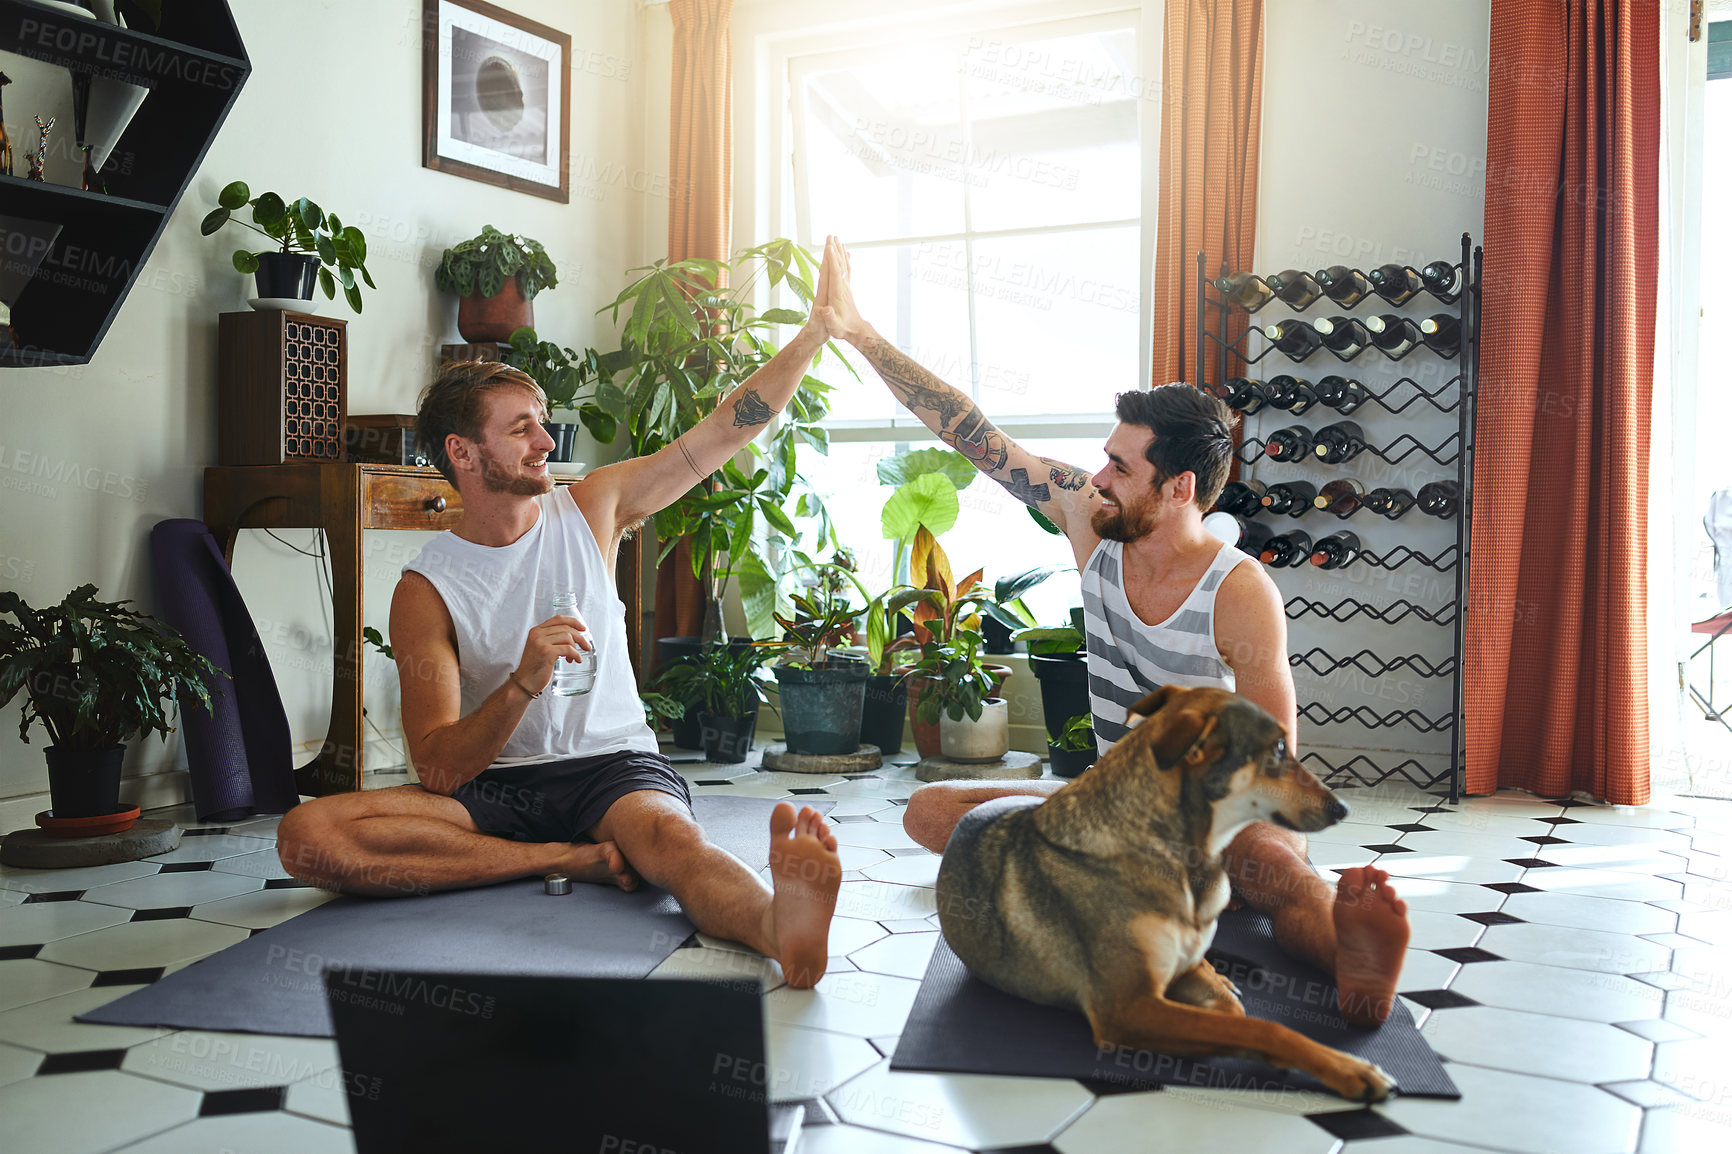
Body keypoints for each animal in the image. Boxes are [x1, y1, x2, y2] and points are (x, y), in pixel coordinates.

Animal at [935, 682, 1392, 1095]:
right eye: (1279, 749)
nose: (1342, 808)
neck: (1187, 864)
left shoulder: (1173, 981)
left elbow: (1234, 1014)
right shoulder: (1126, 1009)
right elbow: (1263, 1028)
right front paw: (1348, 1068)